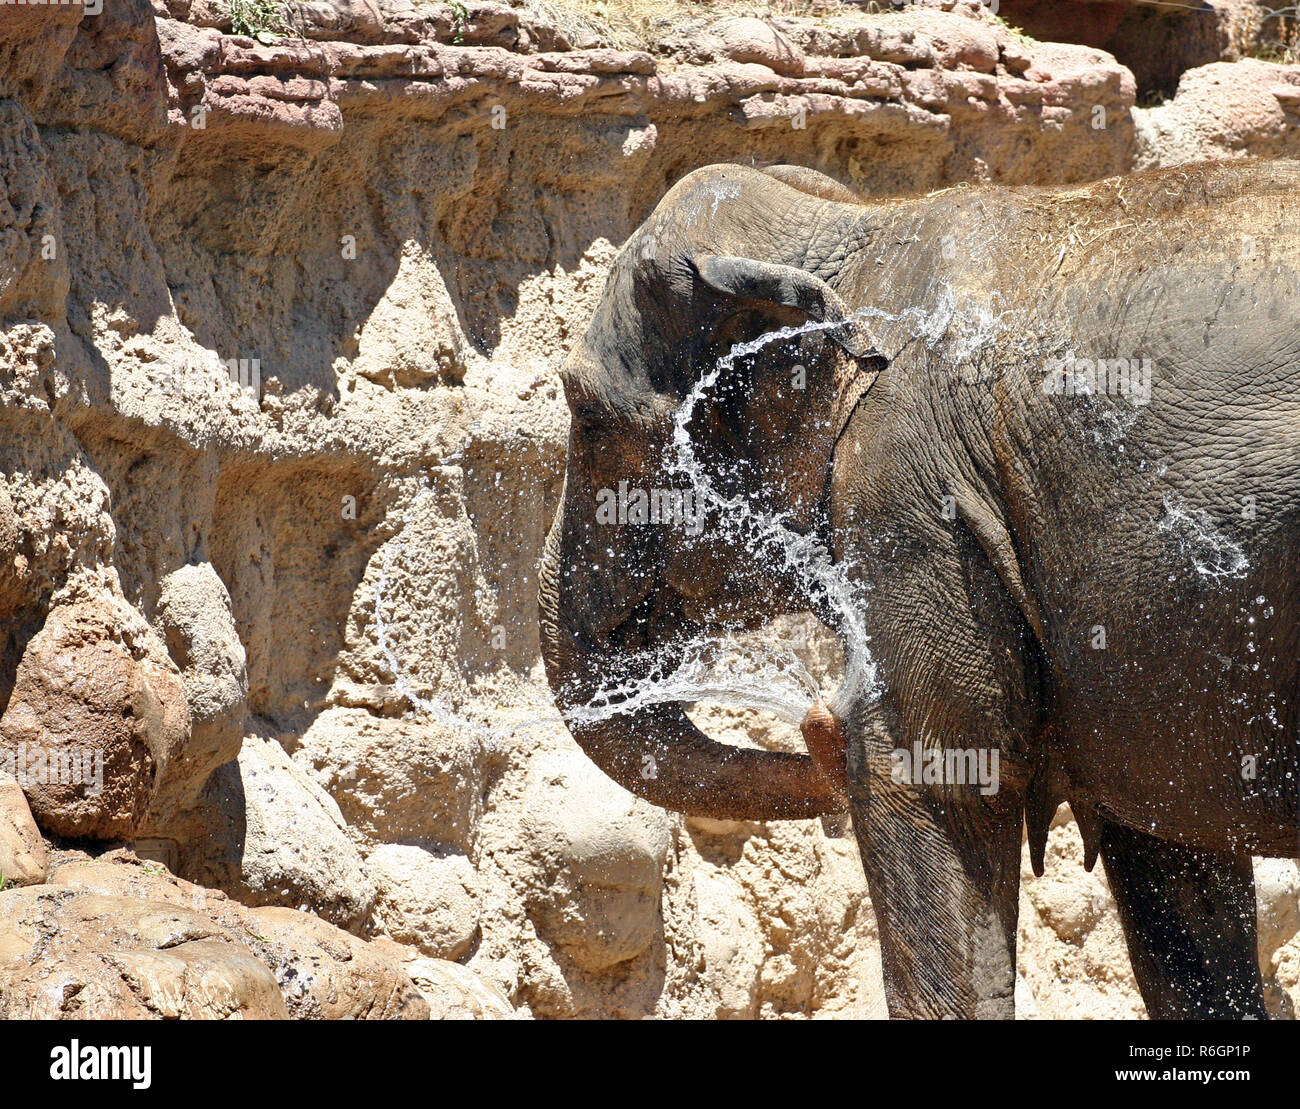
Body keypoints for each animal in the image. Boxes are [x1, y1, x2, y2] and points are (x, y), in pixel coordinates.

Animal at [535, 159, 1300, 1019]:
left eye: (584, 413)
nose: (816, 718)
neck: (855, 228)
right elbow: (1175, 868)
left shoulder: (912, 495)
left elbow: (935, 781)